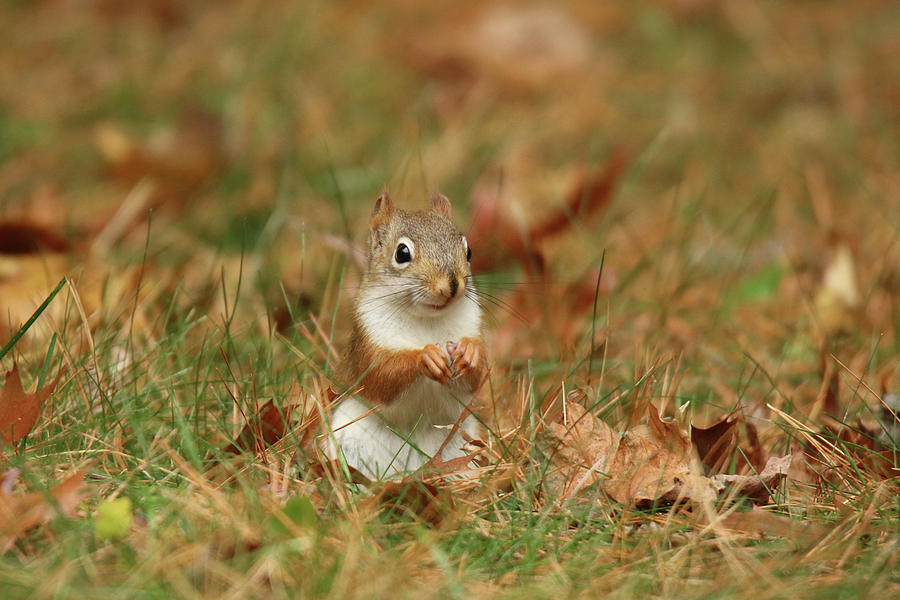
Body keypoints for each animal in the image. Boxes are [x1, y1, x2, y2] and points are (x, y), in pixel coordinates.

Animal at [326, 190, 488, 480]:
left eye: (468, 251)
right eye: (402, 253)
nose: (453, 285)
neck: (427, 320)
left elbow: (475, 379)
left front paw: (470, 353)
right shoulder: (369, 342)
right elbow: (380, 377)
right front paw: (426, 356)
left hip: (462, 441)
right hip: (348, 438)